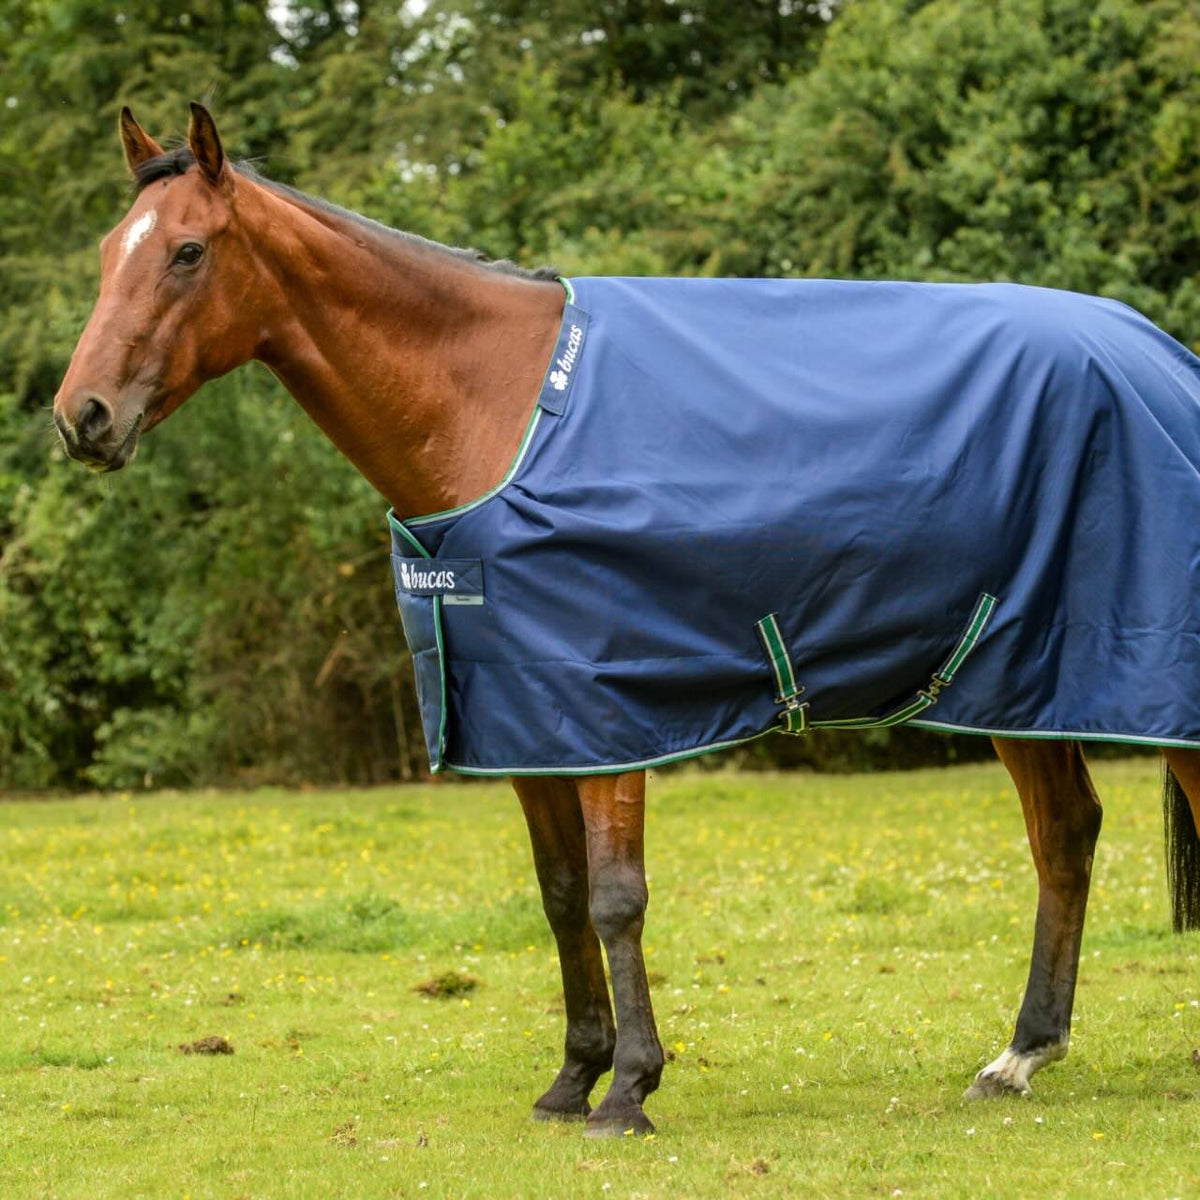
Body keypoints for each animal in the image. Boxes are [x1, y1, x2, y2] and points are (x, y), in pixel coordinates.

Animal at [53, 103, 1200, 1137]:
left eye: (189, 251)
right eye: (109, 251)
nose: (82, 417)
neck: (496, 407)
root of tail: (1163, 358)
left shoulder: (608, 708)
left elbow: (615, 895)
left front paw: (631, 1091)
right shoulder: (523, 716)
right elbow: (561, 893)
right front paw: (573, 1079)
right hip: (1017, 678)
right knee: (1065, 834)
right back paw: (1020, 1056)